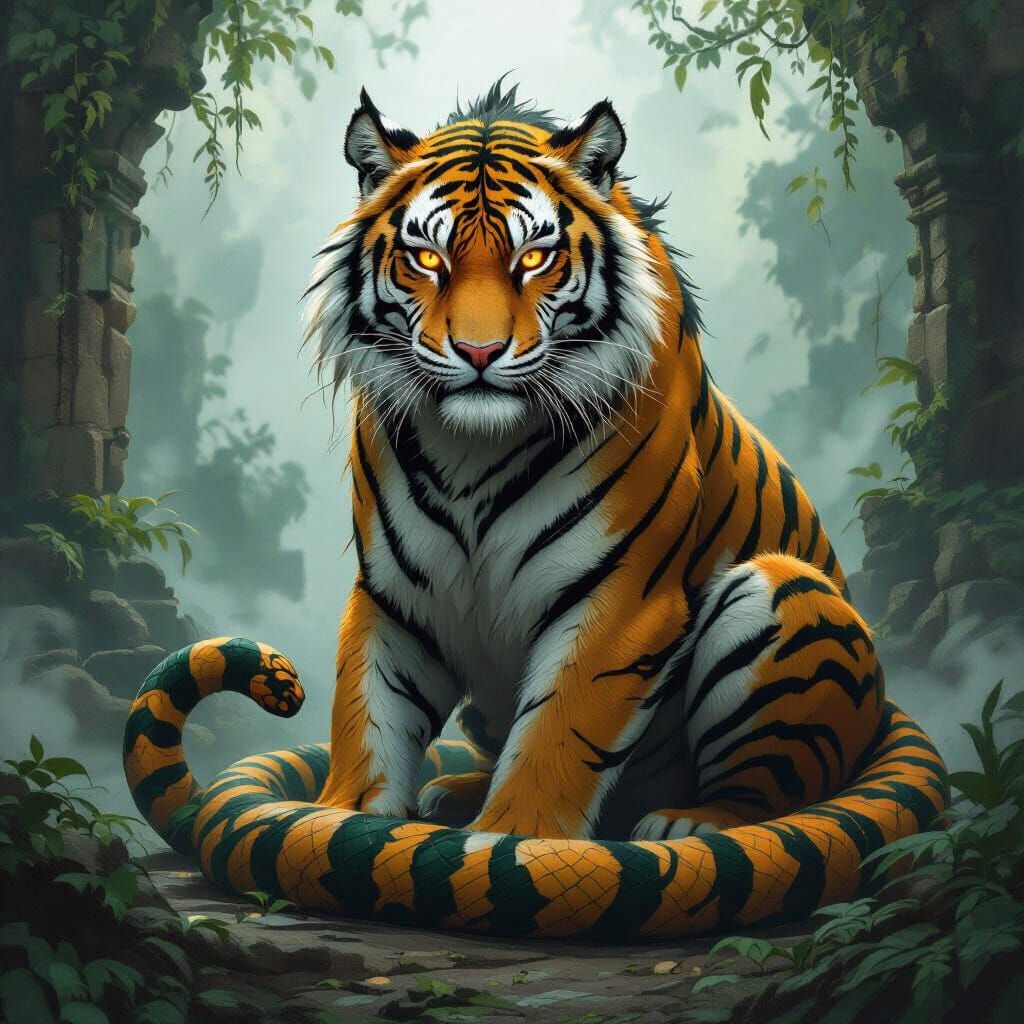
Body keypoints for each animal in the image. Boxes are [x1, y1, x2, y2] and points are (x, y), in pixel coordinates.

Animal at [122, 81, 948, 940]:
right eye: (428, 257)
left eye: (535, 258)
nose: (479, 354)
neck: (471, 453)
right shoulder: (394, 597)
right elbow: (367, 717)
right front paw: (339, 821)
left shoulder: (620, 602)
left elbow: (558, 730)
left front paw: (513, 843)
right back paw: (452, 794)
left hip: (786, 595)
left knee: (764, 783)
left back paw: (693, 820)